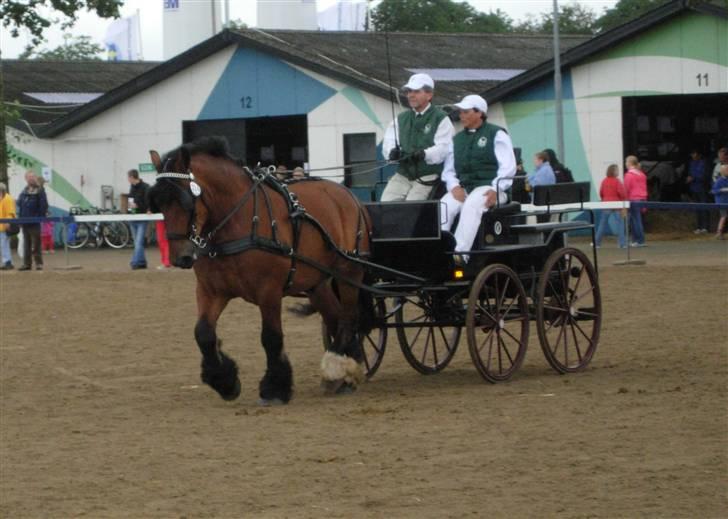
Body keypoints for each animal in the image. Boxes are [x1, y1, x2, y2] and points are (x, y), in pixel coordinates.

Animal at [146, 136, 372, 404]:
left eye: (185, 200)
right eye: (159, 202)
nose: (180, 257)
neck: (239, 221)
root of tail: (349, 195)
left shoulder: (269, 291)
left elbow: (271, 337)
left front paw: (274, 388)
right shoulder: (211, 290)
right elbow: (203, 333)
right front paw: (225, 382)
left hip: (348, 272)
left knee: (349, 318)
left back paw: (337, 368)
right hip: (318, 283)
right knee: (335, 318)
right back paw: (345, 371)